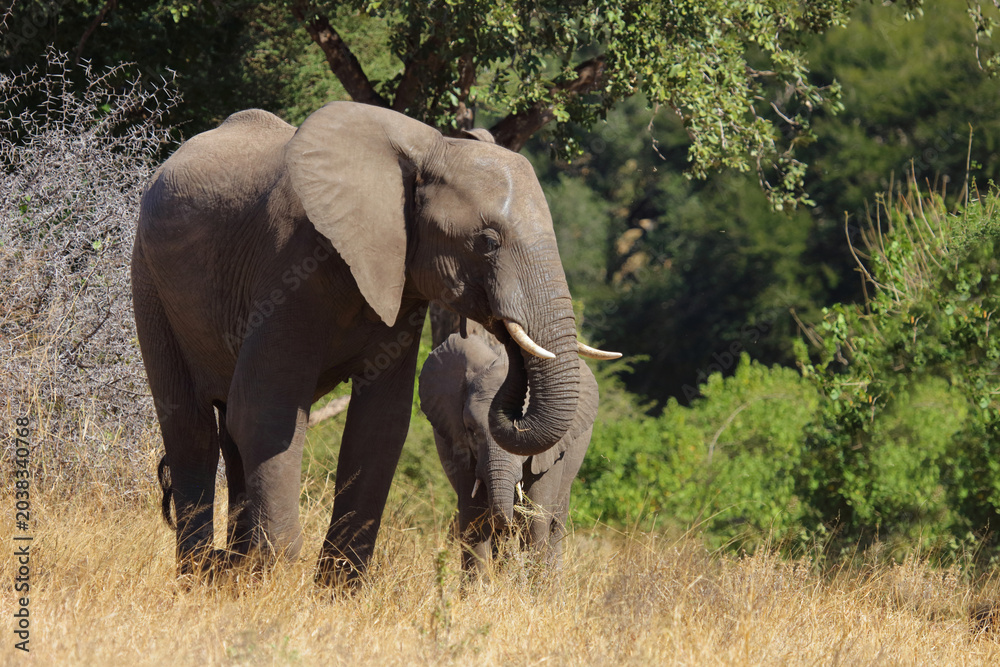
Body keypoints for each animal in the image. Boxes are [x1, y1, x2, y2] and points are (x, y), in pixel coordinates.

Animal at [419, 332, 599, 574]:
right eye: (471, 430)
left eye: (523, 428)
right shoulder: (460, 445)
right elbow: (473, 519)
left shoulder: (548, 453)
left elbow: (536, 522)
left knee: (555, 525)